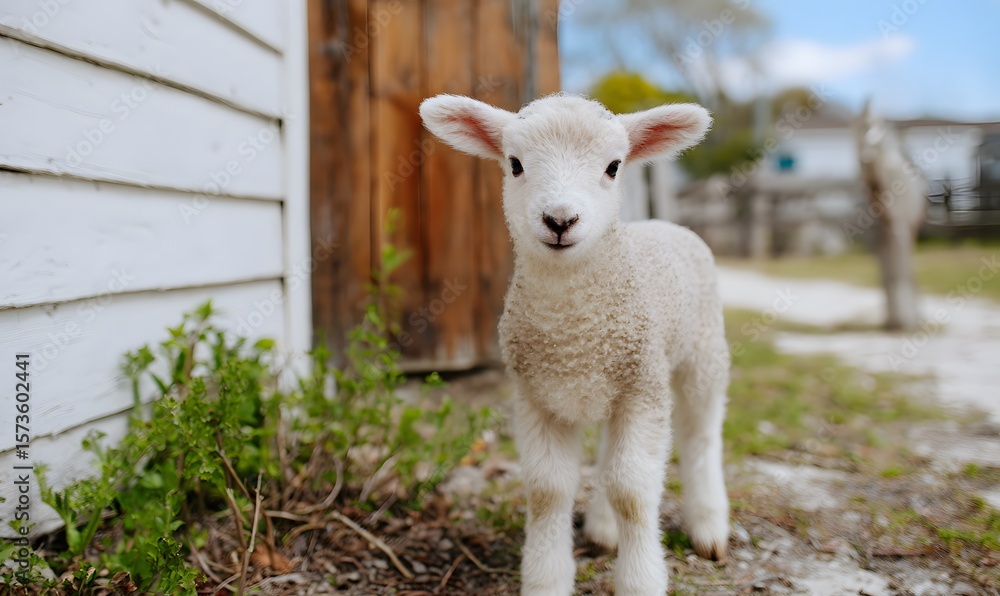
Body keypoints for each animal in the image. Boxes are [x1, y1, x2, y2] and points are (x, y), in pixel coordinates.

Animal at [420, 93, 729, 596]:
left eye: (613, 166)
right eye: (515, 164)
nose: (560, 220)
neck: (574, 333)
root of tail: (663, 222)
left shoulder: (643, 388)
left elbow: (633, 491)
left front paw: (640, 580)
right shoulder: (537, 396)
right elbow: (550, 490)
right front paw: (547, 578)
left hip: (703, 355)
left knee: (700, 436)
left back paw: (709, 528)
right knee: (607, 453)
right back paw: (603, 530)